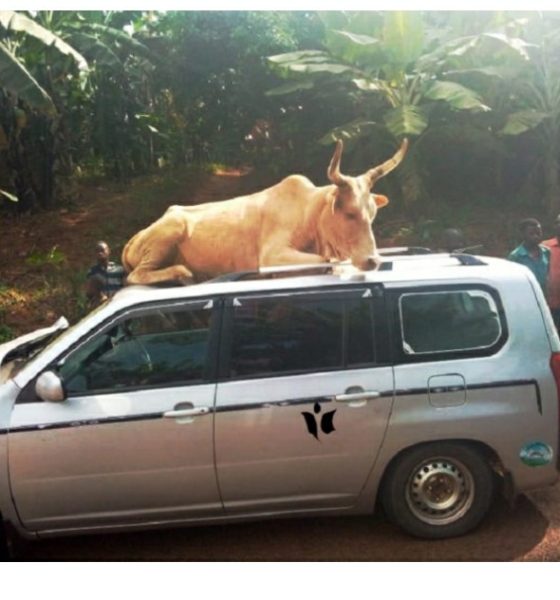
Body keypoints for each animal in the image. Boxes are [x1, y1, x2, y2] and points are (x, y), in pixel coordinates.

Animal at [122, 138, 408, 286]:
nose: (372, 260)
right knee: (136, 276)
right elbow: (325, 261)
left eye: (373, 214)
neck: (310, 214)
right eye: (349, 213)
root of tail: (135, 237)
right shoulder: (272, 255)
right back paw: (182, 272)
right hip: (169, 232)